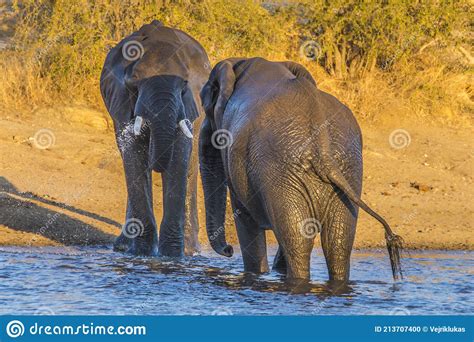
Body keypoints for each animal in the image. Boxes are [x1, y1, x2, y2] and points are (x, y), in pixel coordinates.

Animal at [100, 20, 209, 256]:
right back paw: (123, 247)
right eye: (133, 83)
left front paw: (172, 256)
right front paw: (143, 253)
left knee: (190, 167)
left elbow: (179, 157)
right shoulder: (121, 102)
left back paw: (190, 251)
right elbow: (133, 157)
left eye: (184, 84)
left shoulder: (188, 104)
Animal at [198, 58, 402, 282]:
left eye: (204, 103)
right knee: (337, 243)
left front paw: (257, 275)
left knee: (298, 244)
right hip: (348, 167)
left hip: (282, 171)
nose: (228, 250)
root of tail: (323, 149)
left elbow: (244, 216)